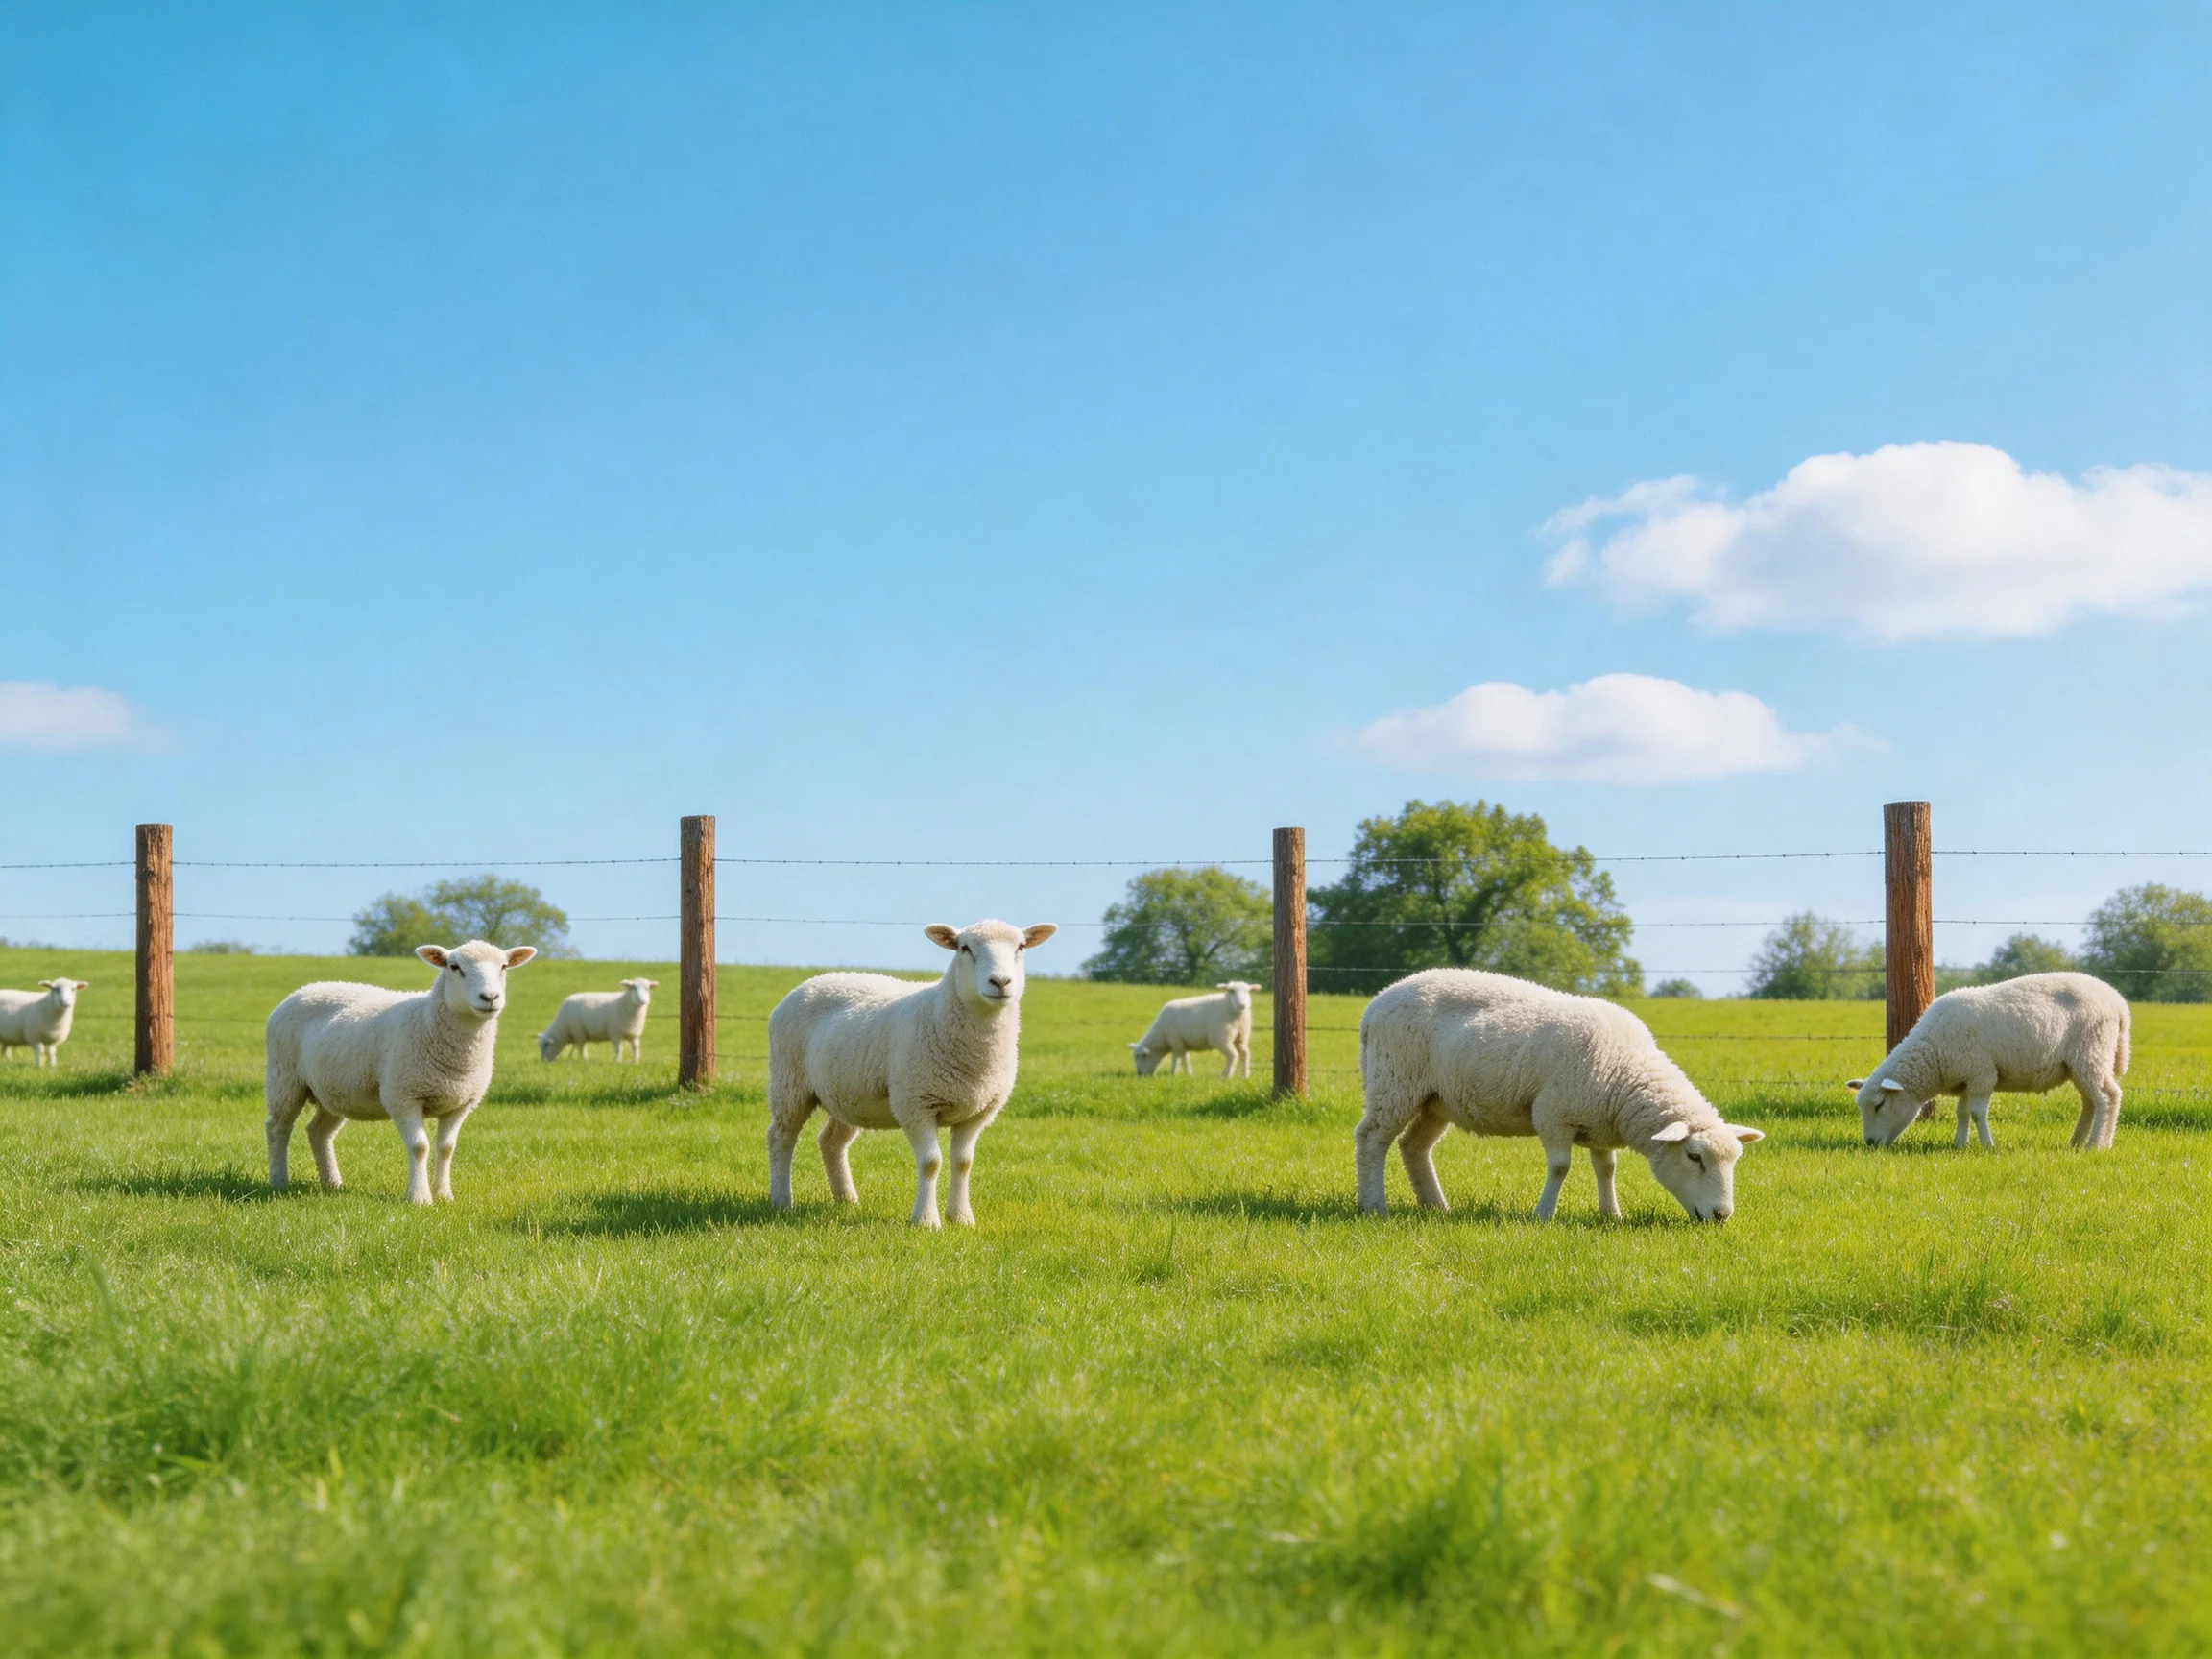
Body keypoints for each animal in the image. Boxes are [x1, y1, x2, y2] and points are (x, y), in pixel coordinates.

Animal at [264, 940, 537, 1204]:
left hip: (334, 1091)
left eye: (503, 966)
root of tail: (304, 990)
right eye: (454, 966)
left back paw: (332, 1183)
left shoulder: (460, 1103)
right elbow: (419, 1147)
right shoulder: (403, 1096)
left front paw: (445, 1195)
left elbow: (446, 1148)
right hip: (284, 1078)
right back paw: (279, 1181)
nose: (490, 997)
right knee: (277, 1128)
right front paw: (419, 1198)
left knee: (318, 1132)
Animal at [767, 919, 1056, 1227]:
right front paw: (926, 1221)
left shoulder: (978, 1112)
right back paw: (782, 1200)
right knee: (781, 1137)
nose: (1000, 982)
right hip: (789, 1082)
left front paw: (961, 1217)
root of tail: (810, 982)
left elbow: (963, 1163)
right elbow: (931, 1163)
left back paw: (847, 1199)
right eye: (964, 948)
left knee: (831, 1141)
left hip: (849, 1094)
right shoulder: (915, 1104)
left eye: (1021, 947)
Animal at [1130, 981, 1258, 1077]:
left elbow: (1178, 1059)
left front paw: (1174, 1074)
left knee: (1233, 1055)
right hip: (1242, 1035)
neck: (1161, 1036)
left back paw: (1226, 1076)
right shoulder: (1183, 1043)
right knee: (1245, 1053)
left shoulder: (1176, 1041)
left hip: (1222, 1036)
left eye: (1142, 1056)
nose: (1139, 1075)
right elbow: (1185, 1058)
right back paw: (1245, 1076)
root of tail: (1239, 1012)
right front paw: (1188, 1074)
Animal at [1355, 968, 1763, 1223]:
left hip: (1435, 1099)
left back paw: (1437, 1207)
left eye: (1735, 1161)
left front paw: (1611, 1214)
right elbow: (1560, 1167)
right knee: (1372, 1138)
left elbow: (1606, 1168)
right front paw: (1543, 1215)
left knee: (1414, 1146)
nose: (1722, 1216)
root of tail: (1375, 1004)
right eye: (1694, 1157)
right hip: (1395, 1080)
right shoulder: (1552, 1114)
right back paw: (1374, 1206)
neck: (1624, 1072)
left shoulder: (1600, 1122)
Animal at [1849, 971, 2130, 1151]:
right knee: (2090, 1101)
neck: (1934, 1050)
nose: (1870, 1144)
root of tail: (2118, 1002)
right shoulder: (1967, 1078)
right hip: (2080, 1062)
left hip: (2092, 1053)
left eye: (1879, 1105)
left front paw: (1987, 1146)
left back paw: (2098, 1145)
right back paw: (2077, 1142)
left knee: (2107, 1097)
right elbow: (1961, 1113)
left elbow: (1976, 1113)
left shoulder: (1982, 1074)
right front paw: (1959, 1145)